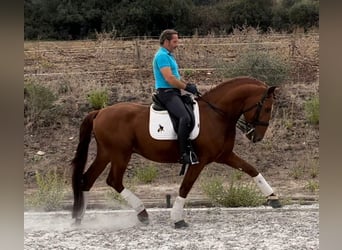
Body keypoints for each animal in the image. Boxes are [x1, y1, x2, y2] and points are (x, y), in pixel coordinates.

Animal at [71, 76, 280, 229]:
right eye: (267, 108)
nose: (257, 137)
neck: (217, 115)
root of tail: (100, 112)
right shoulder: (200, 160)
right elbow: (185, 187)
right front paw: (178, 219)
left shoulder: (224, 156)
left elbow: (251, 169)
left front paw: (273, 198)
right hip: (120, 154)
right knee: (113, 181)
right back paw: (142, 213)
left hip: (106, 153)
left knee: (87, 179)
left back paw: (79, 218)